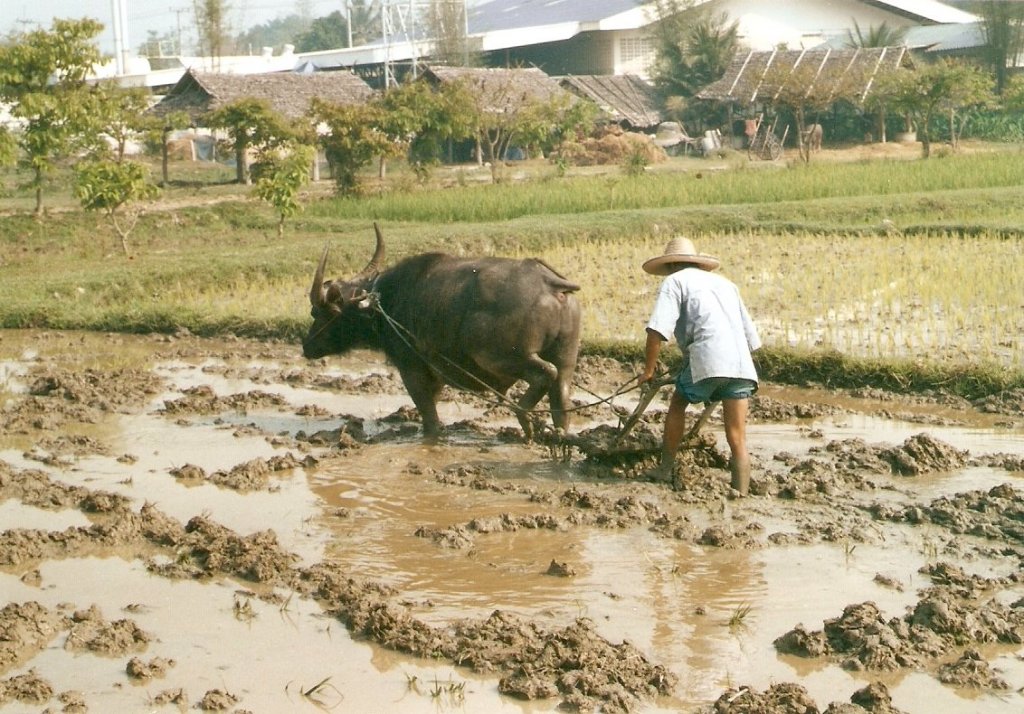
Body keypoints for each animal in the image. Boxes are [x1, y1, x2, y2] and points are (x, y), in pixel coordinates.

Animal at [299, 223, 581, 436]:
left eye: (317, 313)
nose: (306, 346)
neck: (382, 304)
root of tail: (549, 283)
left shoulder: (412, 369)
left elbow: (430, 418)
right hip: (566, 356)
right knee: (561, 398)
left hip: (499, 355)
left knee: (545, 373)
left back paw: (524, 416)